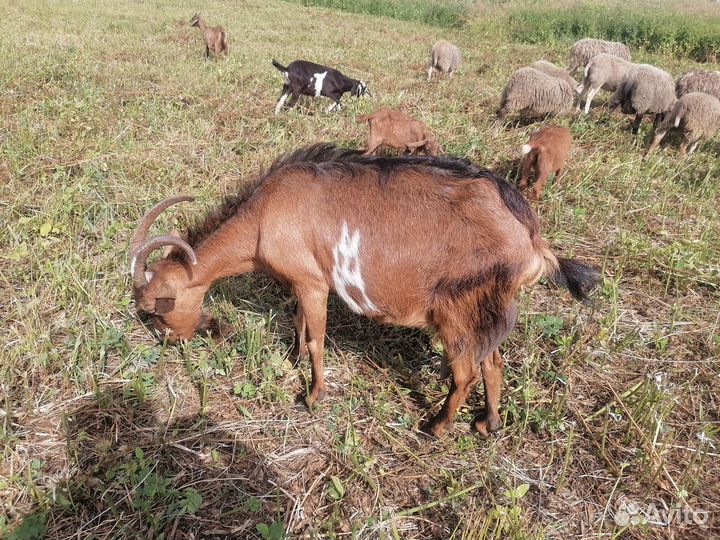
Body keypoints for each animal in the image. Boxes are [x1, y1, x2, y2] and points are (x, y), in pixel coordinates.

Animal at [129, 144, 598, 437]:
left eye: (155, 311)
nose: (178, 340)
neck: (263, 217)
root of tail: (532, 239)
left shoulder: (313, 281)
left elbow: (318, 338)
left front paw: (313, 395)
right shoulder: (301, 281)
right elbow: (299, 322)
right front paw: (292, 360)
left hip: (456, 308)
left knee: (465, 371)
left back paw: (436, 427)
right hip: (486, 307)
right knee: (493, 362)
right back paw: (488, 424)